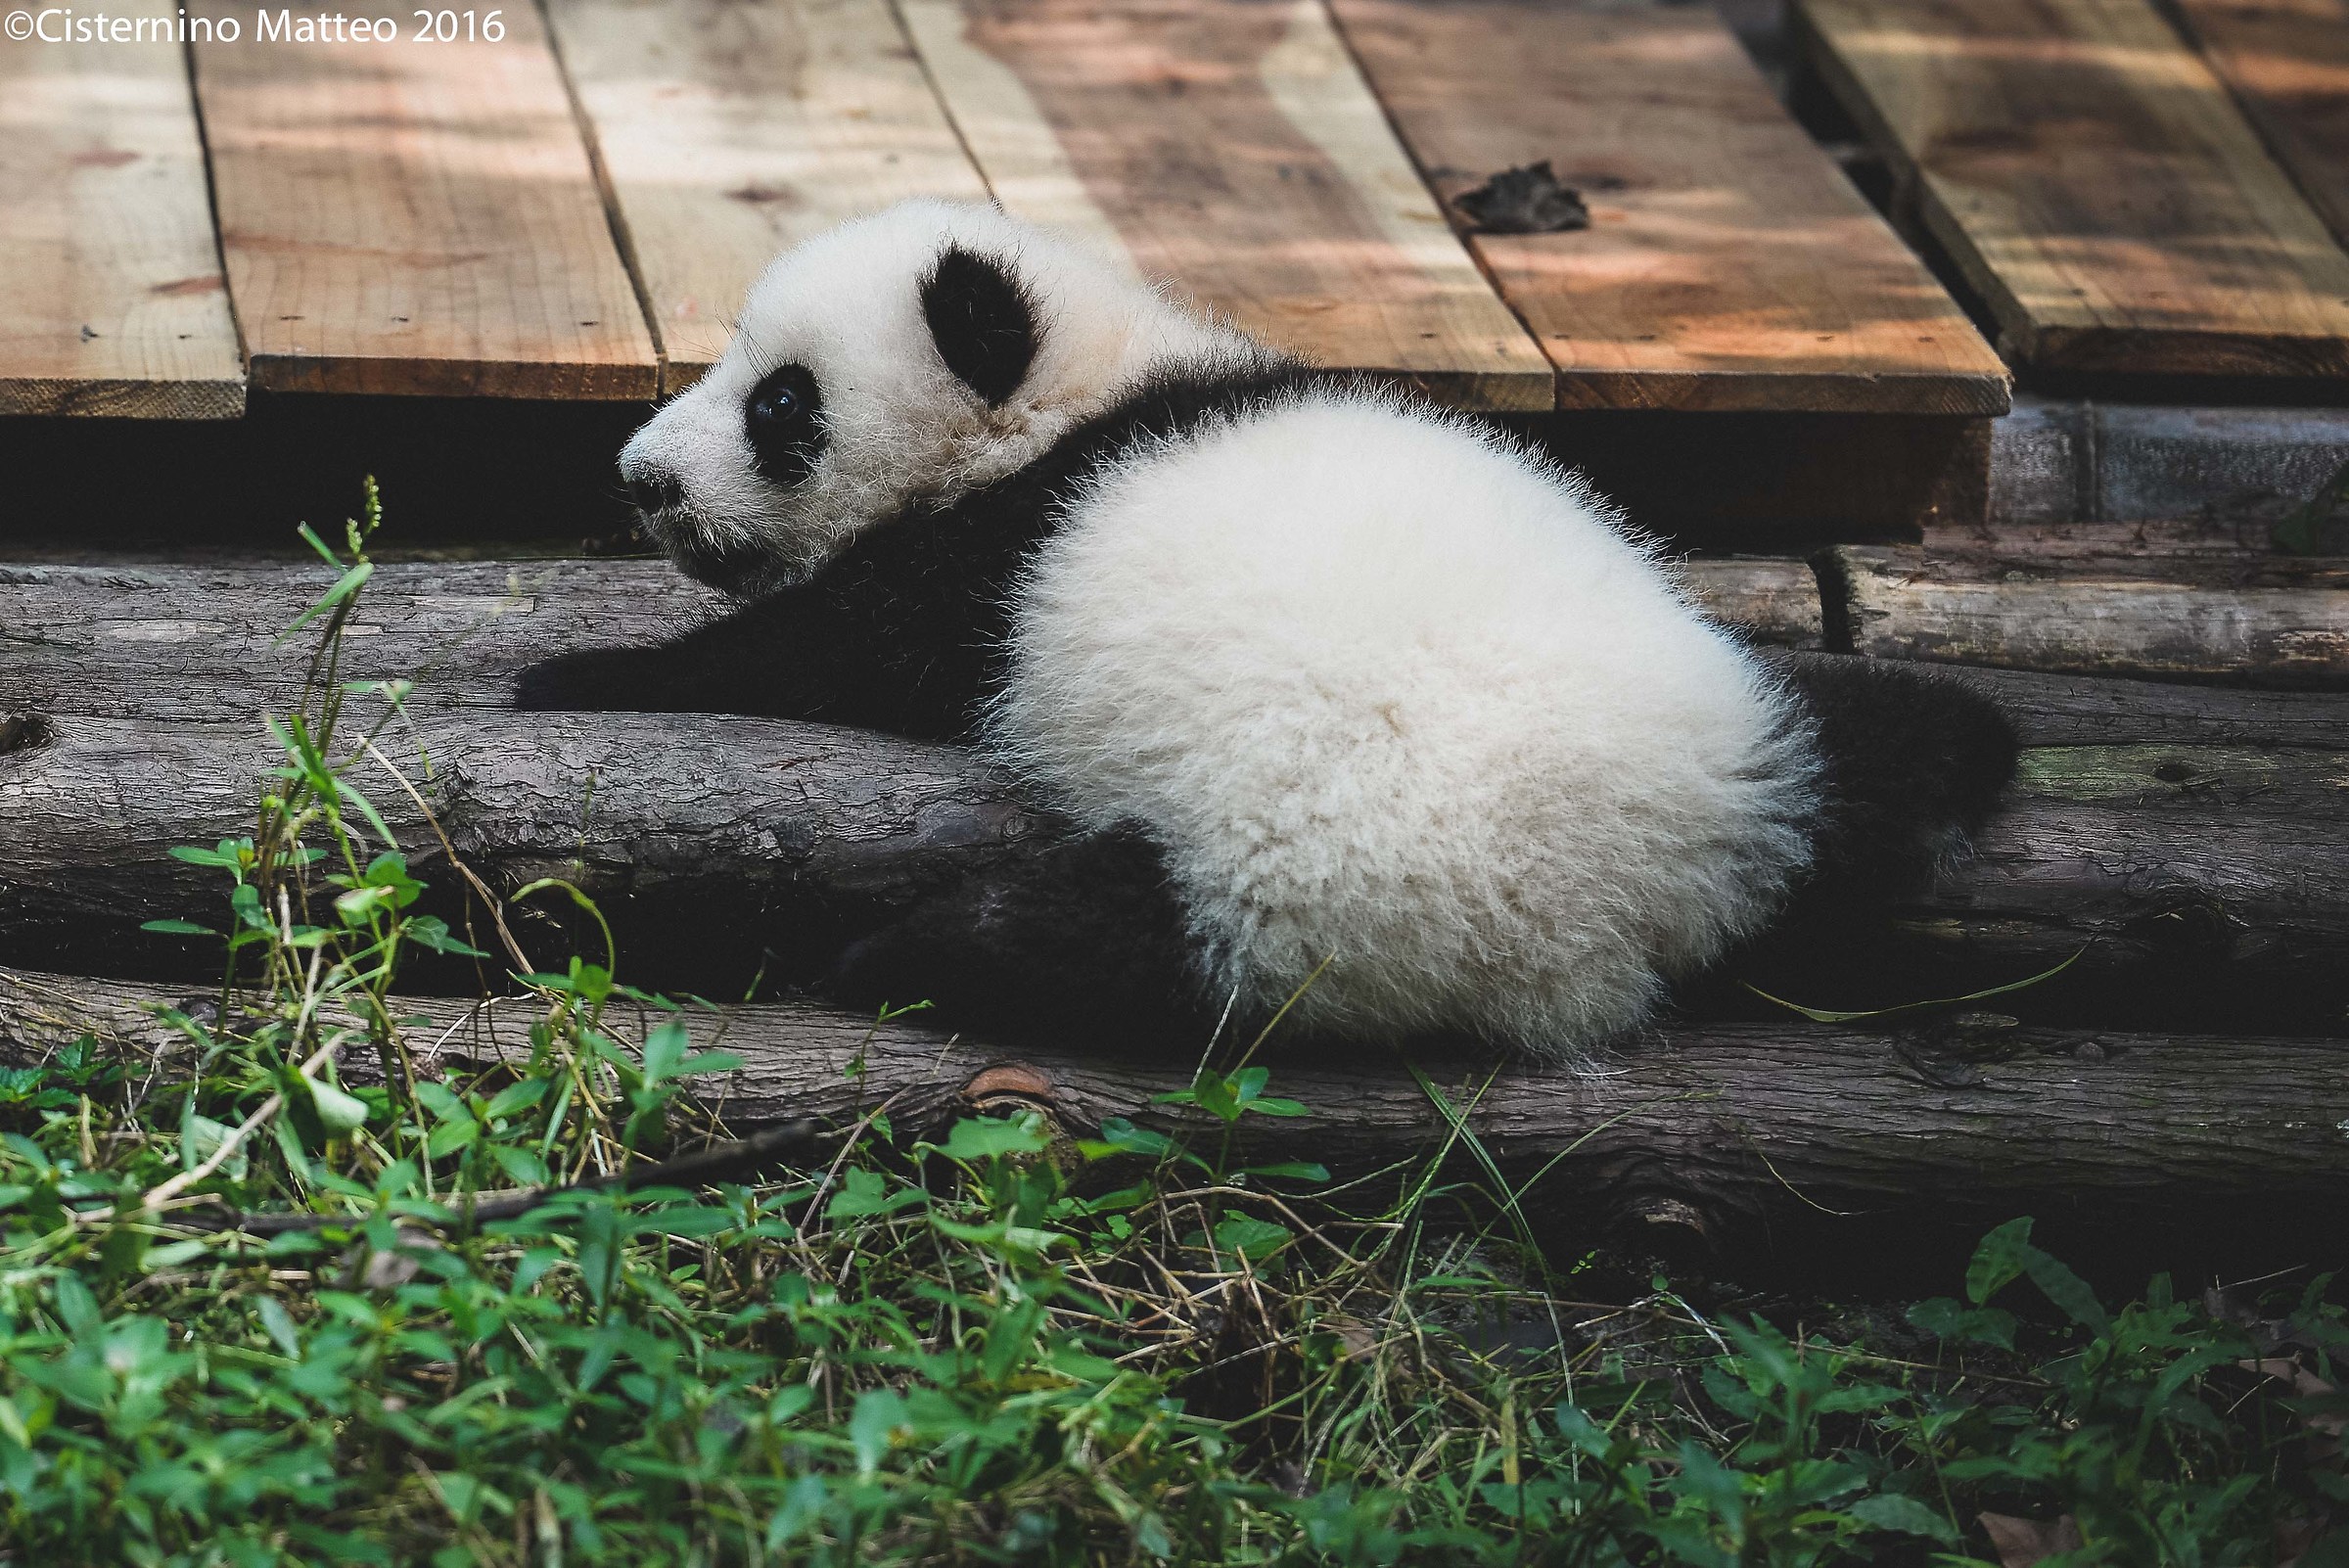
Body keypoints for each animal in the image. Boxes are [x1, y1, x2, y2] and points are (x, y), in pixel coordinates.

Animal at [518, 199, 2016, 1059]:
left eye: (780, 403)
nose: (640, 480)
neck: (1087, 384)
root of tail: (1639, 896)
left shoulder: (1004, 551)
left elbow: (840, 648)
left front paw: (578, 674)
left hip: (1301, 883)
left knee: (1098, 951)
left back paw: (900, 955)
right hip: (1735, 719)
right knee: (1880, 735)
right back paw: (1955, 750)